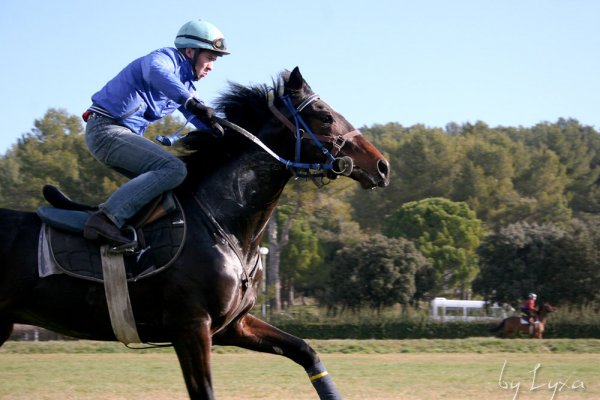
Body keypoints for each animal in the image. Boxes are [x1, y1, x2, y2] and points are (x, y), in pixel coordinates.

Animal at [0, 67, 390, 398]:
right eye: (325, 116)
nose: (382, 165)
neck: (222, 223)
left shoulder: (233, 326)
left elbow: (306, 351)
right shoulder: (191, 326)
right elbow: (204, 392)